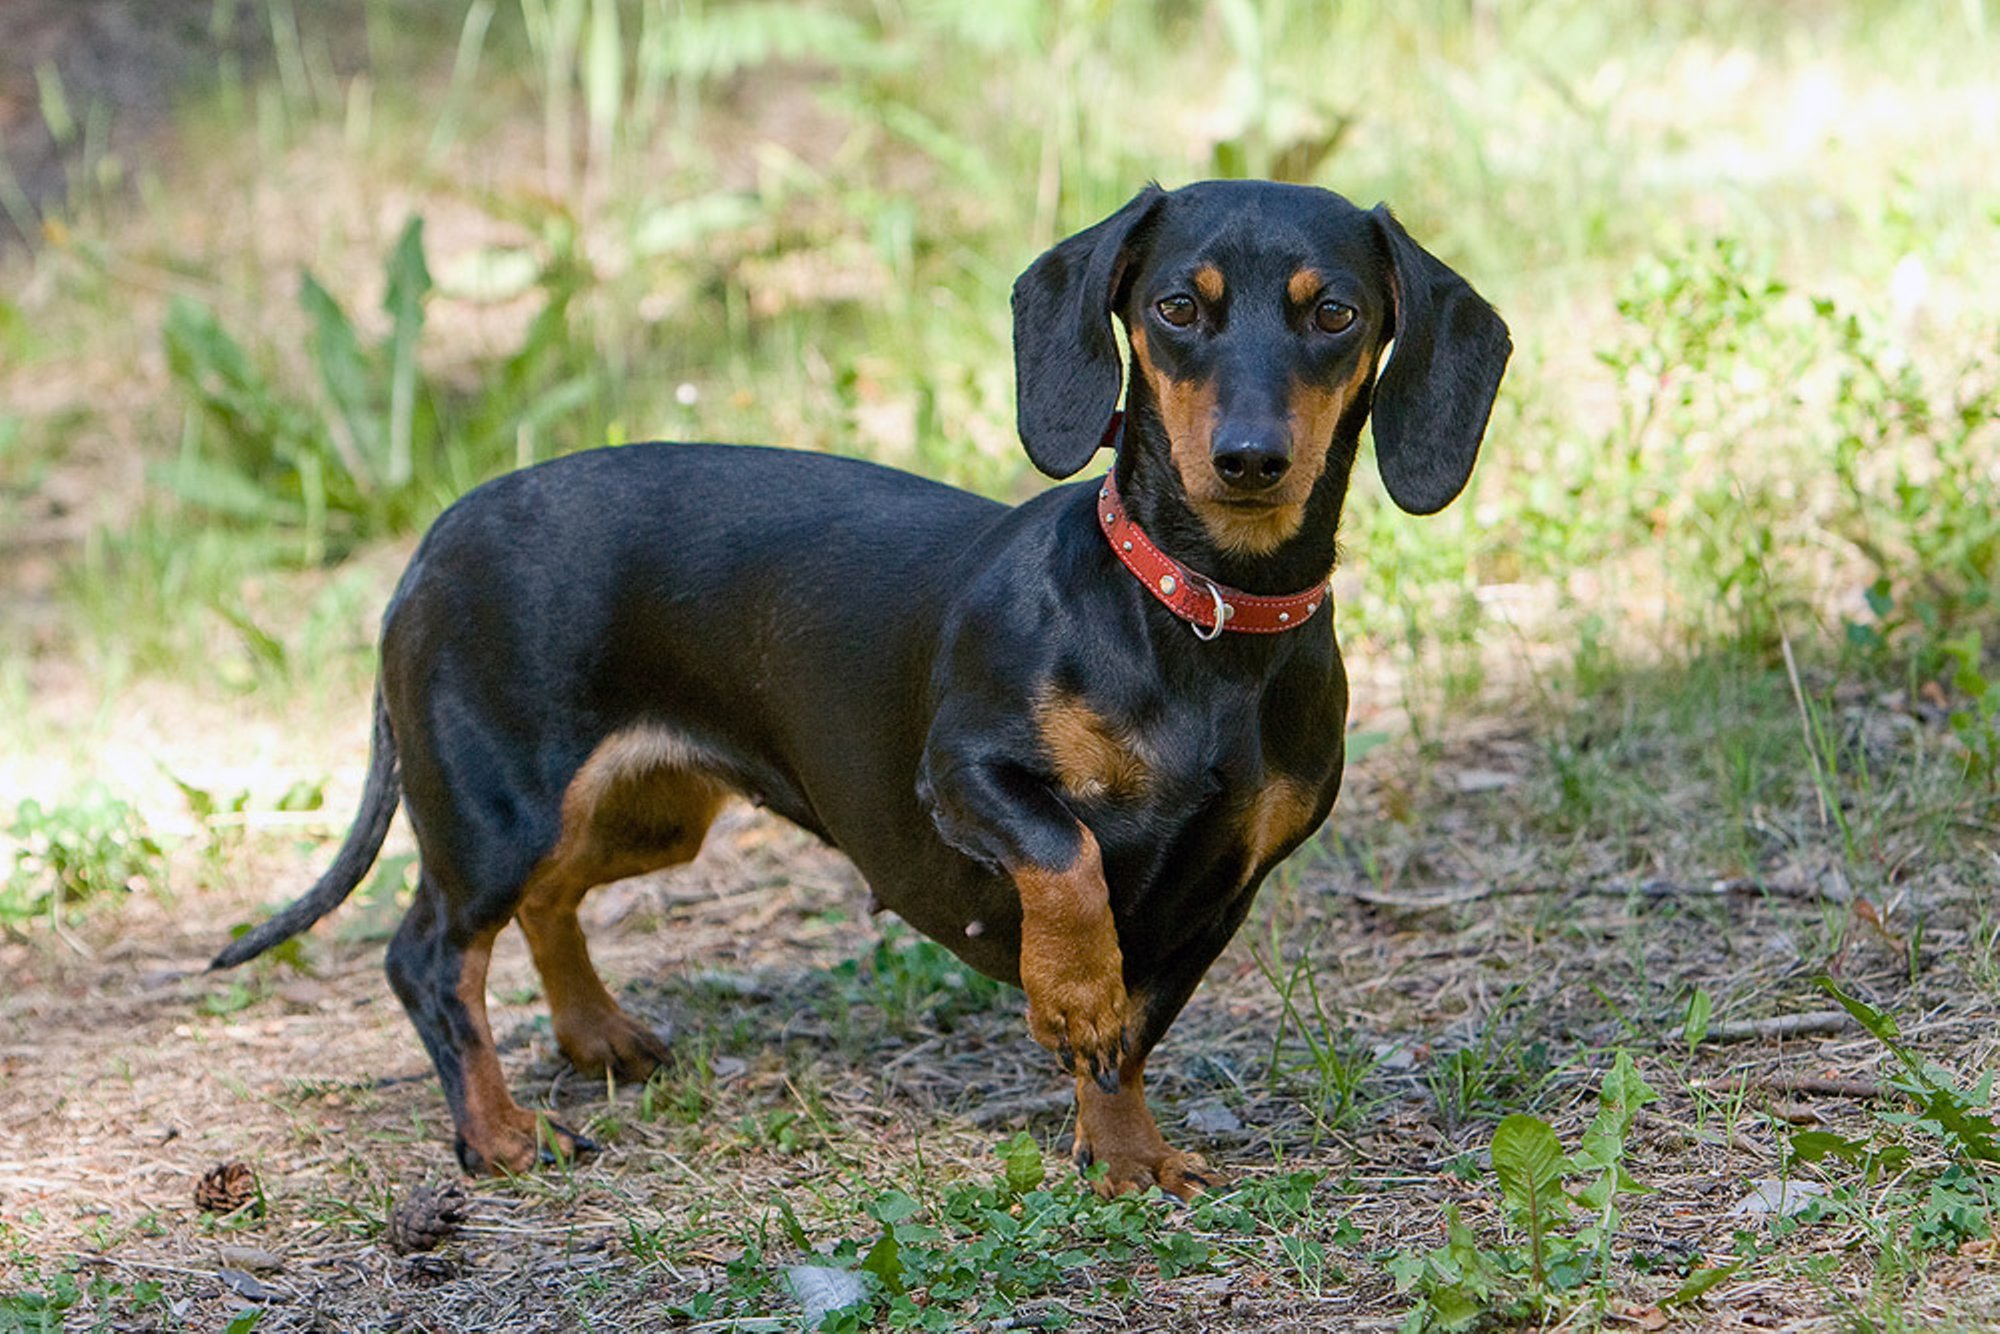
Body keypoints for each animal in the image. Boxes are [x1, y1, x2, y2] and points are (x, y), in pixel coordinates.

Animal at [211, 180, 1504, 1200]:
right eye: (1175, 309)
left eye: (1334, 313)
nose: (1246, 460)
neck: (1201, 623)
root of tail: (435, 538)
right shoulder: (967, 774)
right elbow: (1069, 868)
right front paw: (1068, 994)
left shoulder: (1218, 894)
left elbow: (1128, 1041)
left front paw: (1125, 1152)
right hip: (495, 816)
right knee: (430, 955)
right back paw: (498, 1135)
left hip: (643, 814)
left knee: (548, 901)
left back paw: (595, 1037)